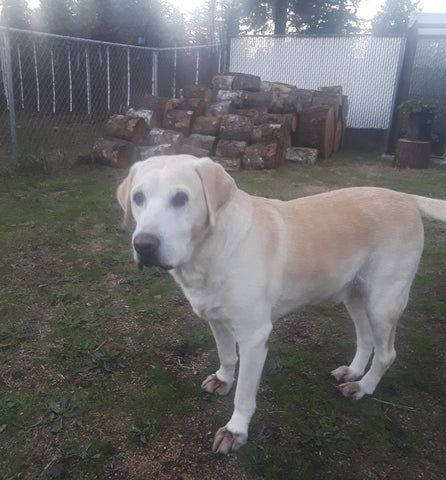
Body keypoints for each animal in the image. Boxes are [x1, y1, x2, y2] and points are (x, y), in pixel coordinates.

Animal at [117, 154, 446, 454]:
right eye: (138, 198)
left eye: (181, 198)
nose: (143, 245)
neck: (209, 252)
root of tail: (404, 196)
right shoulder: (216, 319)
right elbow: (227, 356)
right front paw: (223, 379)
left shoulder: (254, 336)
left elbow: (244, 395)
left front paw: (235, 431)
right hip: (354, 294)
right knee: (365, 340)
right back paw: (353, 372)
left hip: (383, 301)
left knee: (387, 353)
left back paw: (364, 387)